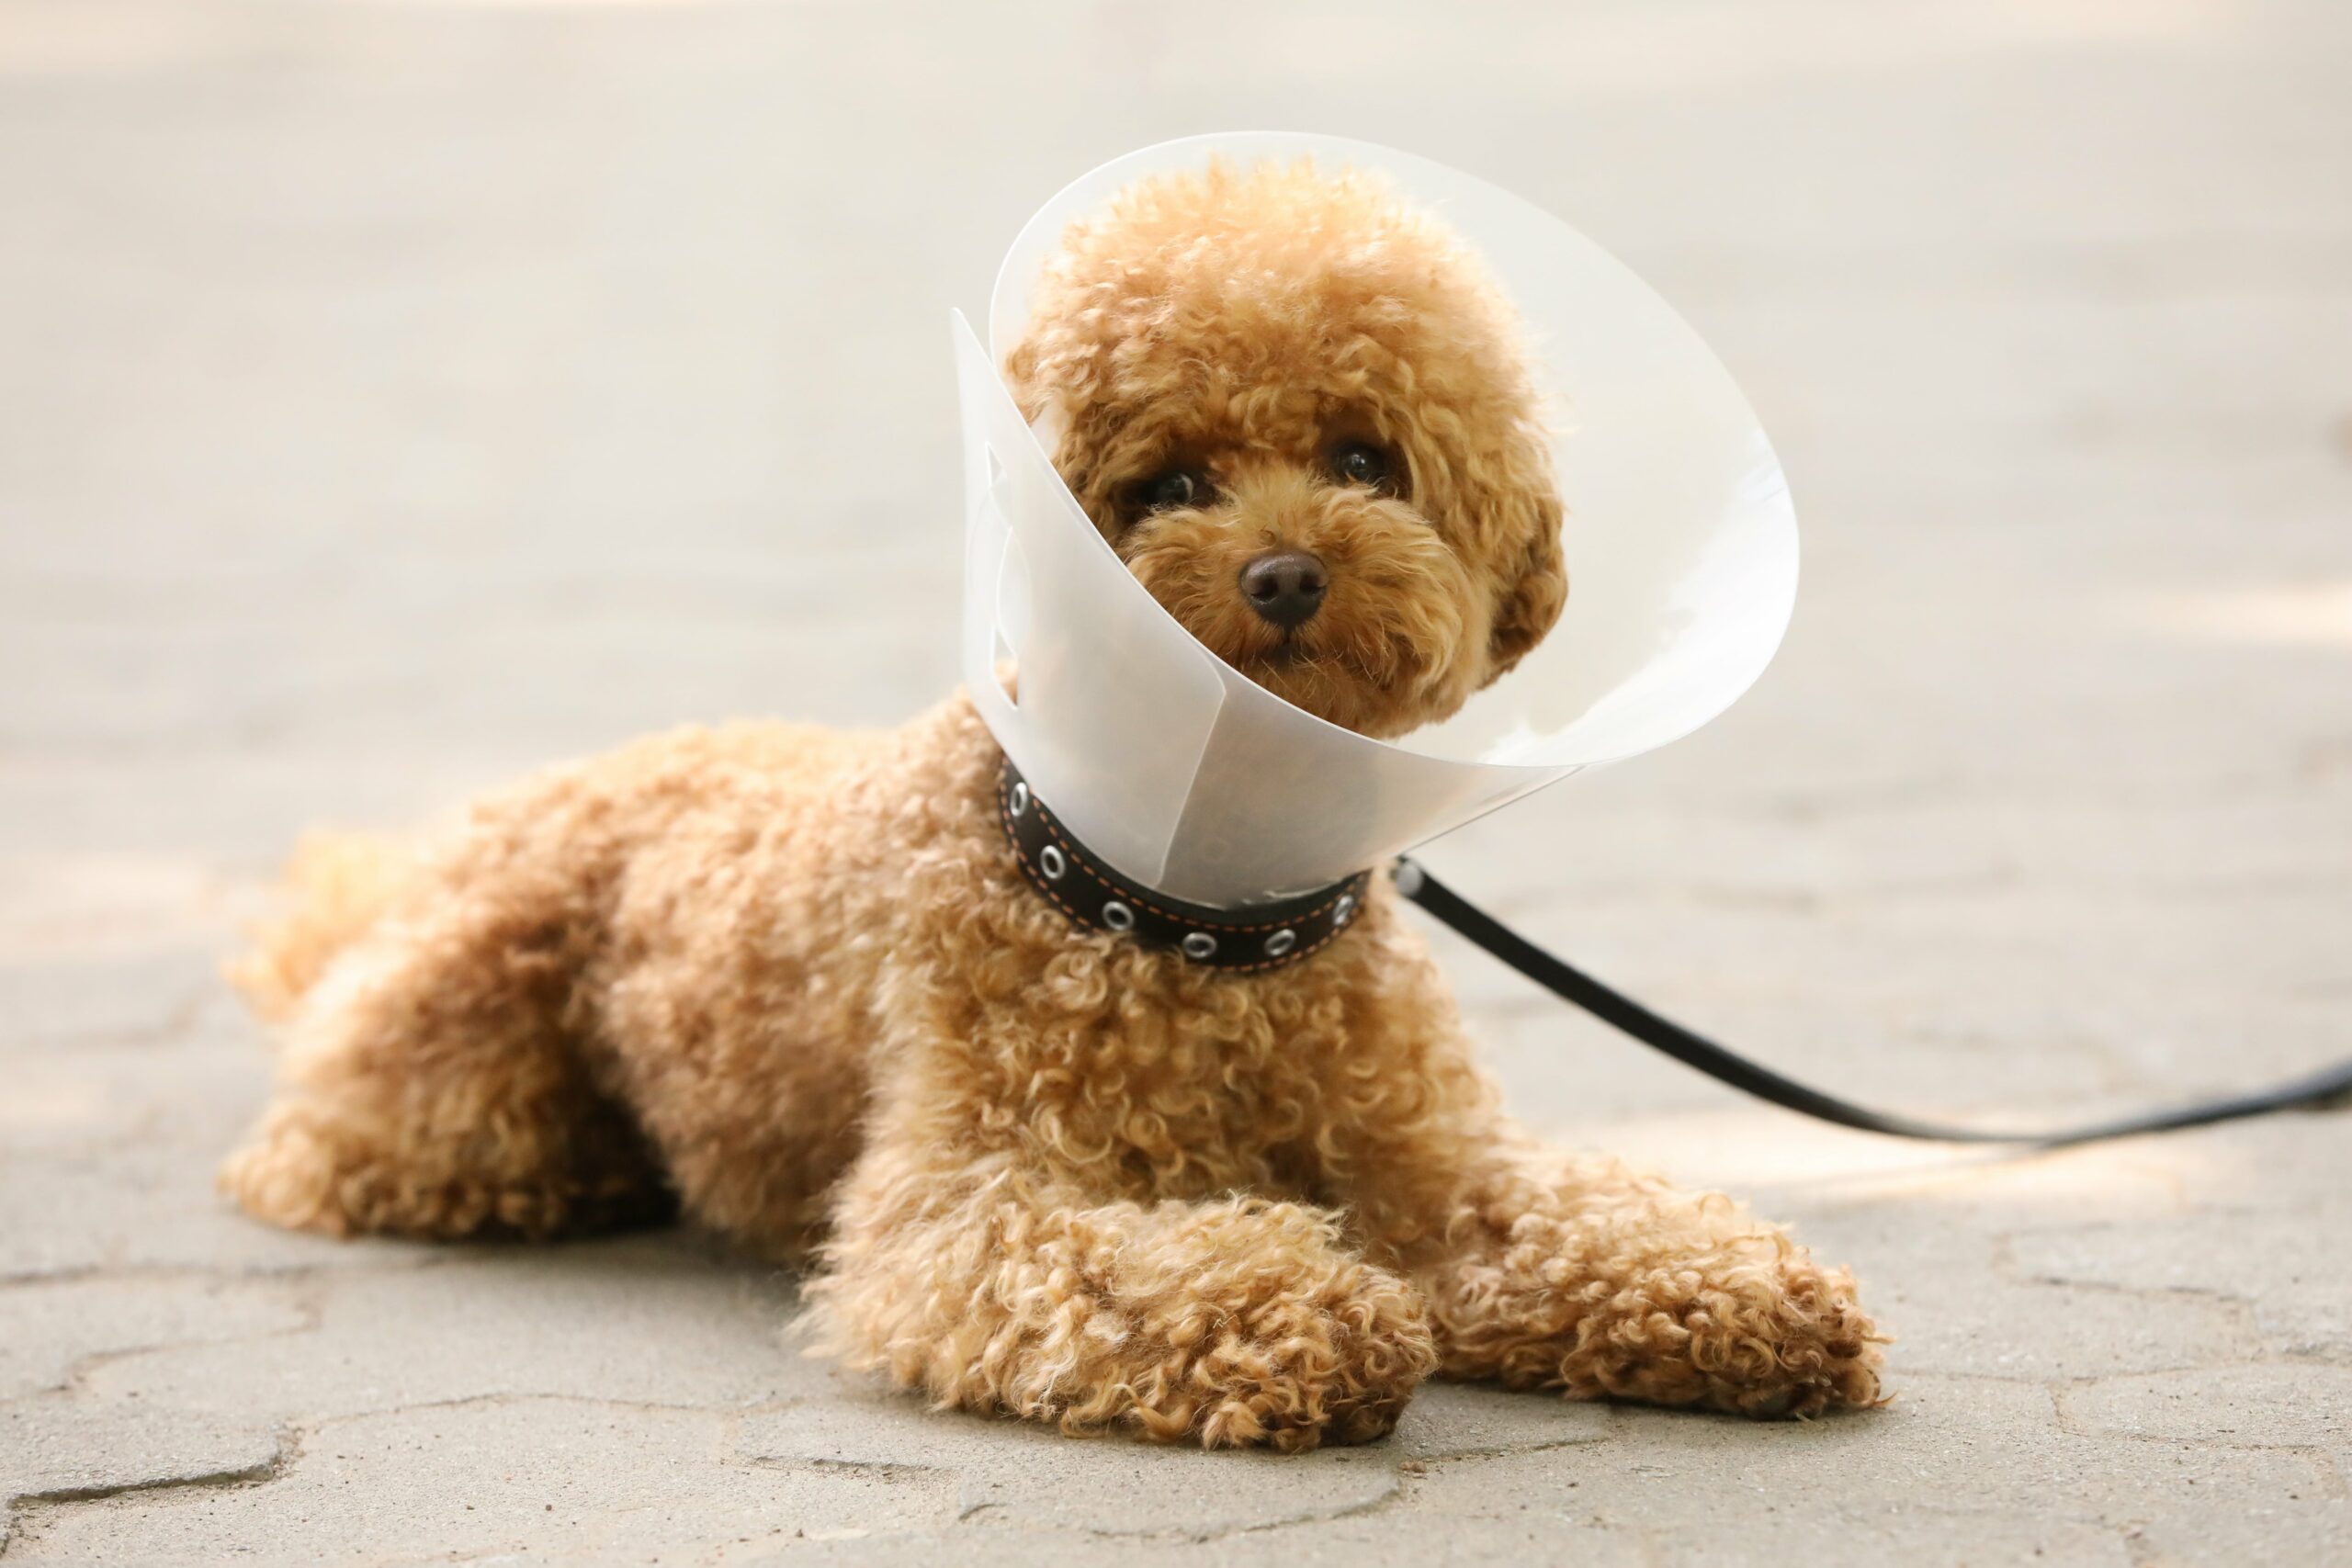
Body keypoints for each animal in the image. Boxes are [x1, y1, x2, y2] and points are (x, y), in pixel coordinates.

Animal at [229, 160, 1882, 1448]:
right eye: (1168, 484)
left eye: (1366, 455)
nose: (1287, 574)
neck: (1208, 908)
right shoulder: (962, 1209)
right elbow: (1133, 1273)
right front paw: (1312, 1309)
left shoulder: (1426, 1161)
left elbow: (1573, 1215)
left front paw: (1744, 1290)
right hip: (452, 1071)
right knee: (331, 1152)